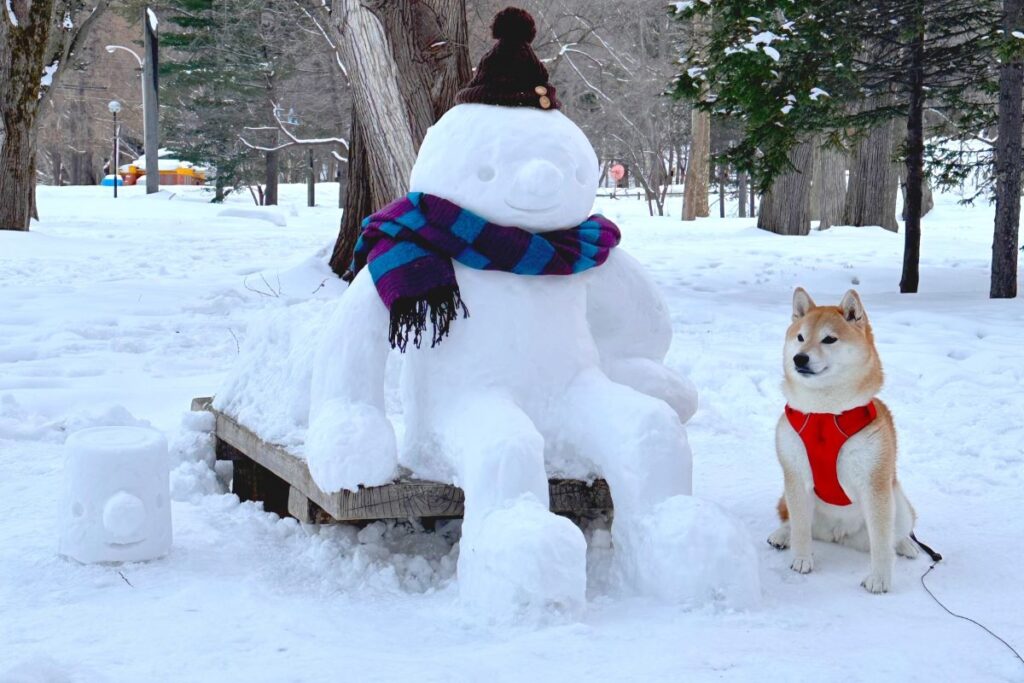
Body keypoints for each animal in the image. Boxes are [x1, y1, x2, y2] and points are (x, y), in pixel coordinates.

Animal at [770, 288, 921, 593]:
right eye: (800, 337)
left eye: (829, 339)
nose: (799, 358)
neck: (825, 414)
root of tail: (836, 534)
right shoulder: (794, 476)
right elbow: (800, 527)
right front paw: (801, 559)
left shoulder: (875, 484)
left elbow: (881, 543)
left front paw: (880, 579)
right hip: (791, 498)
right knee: (793, 520)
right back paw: (782, 535)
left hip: (899, 504)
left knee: (893, 535)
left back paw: (905, 545)